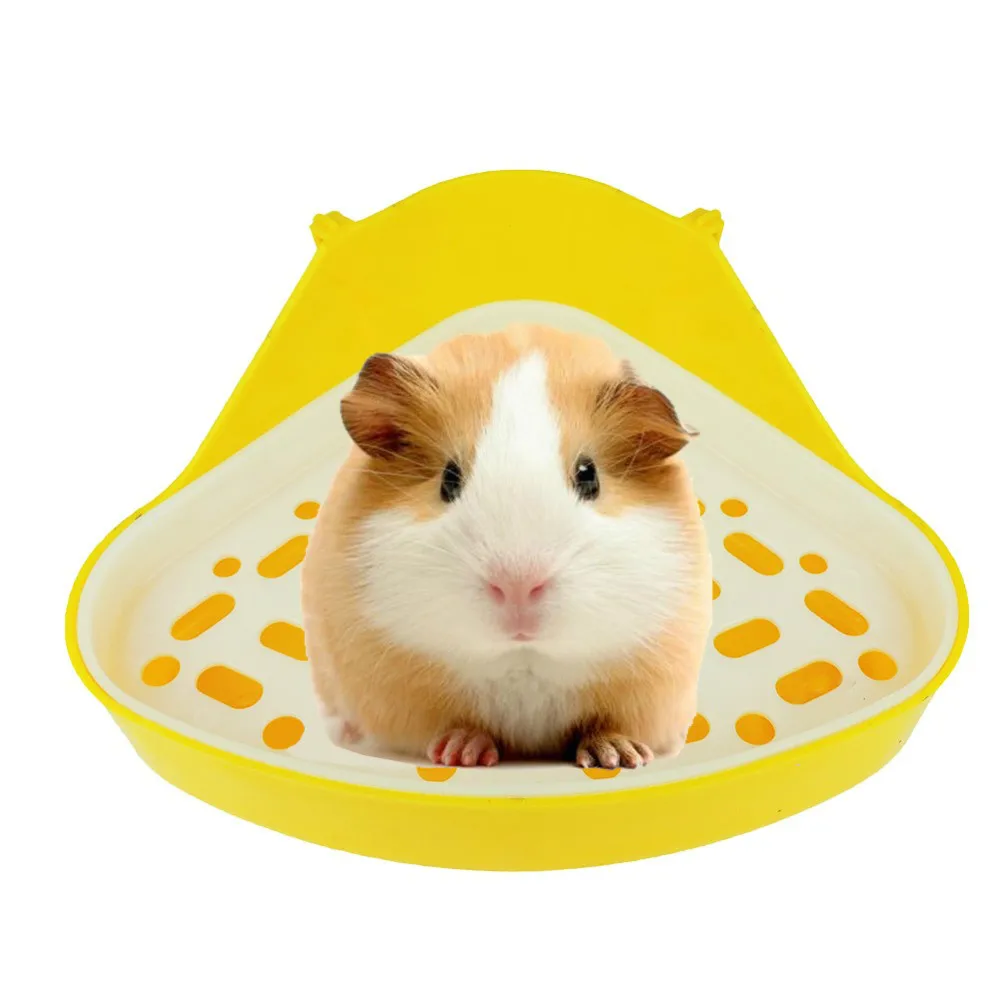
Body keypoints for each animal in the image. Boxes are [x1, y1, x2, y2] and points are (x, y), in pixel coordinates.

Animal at [301, 324, 711, 769]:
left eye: (589, 476)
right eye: (448, 479)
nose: (517, 585)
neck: (524, 658)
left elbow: (607, 724)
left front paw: (619, 757)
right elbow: (453, 725)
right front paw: (461, 753)